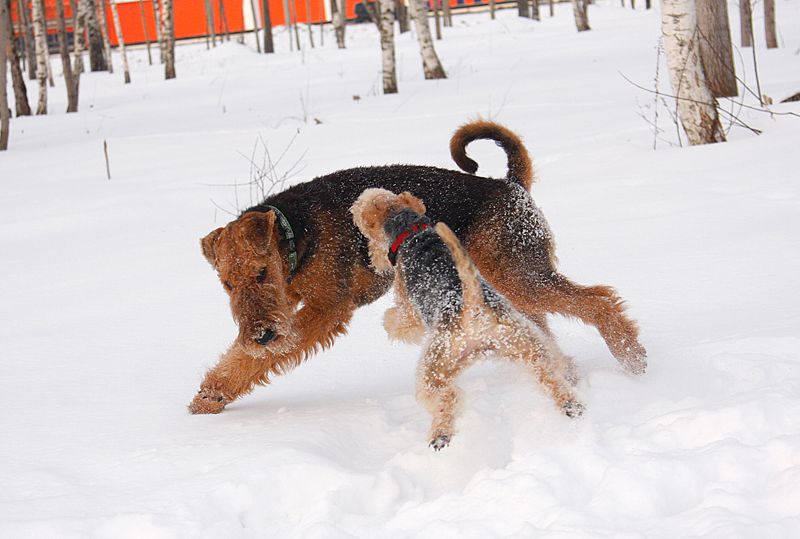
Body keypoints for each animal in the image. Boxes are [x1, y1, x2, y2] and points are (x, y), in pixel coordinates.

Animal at [191, 121, 648, 414]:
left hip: (521, 275)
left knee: (599, 299)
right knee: (543, 328)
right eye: (227, 283)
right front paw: (210, 395)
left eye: (261, 273)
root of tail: (508, 185)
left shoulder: (328, 308)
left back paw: (632, 358)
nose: (260, 336)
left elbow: (263, 356)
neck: (293, 234)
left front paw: (213, 393)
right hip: (504, 286)